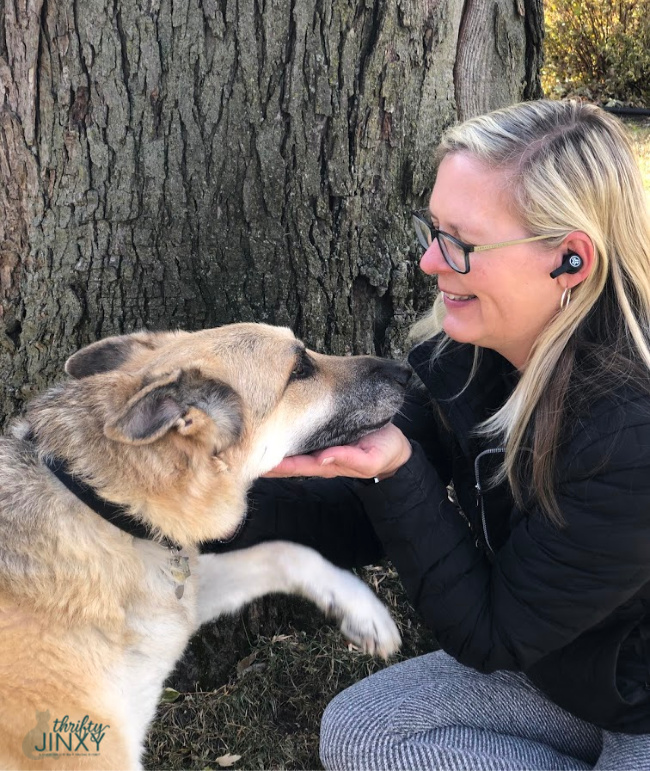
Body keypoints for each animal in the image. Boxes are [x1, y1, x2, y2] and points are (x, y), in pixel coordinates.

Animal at [0, 322, 404, 768]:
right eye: (299, 370)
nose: (405, 370)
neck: (106, 504)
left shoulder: (181, 599)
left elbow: (286, 552)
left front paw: (363, 612)